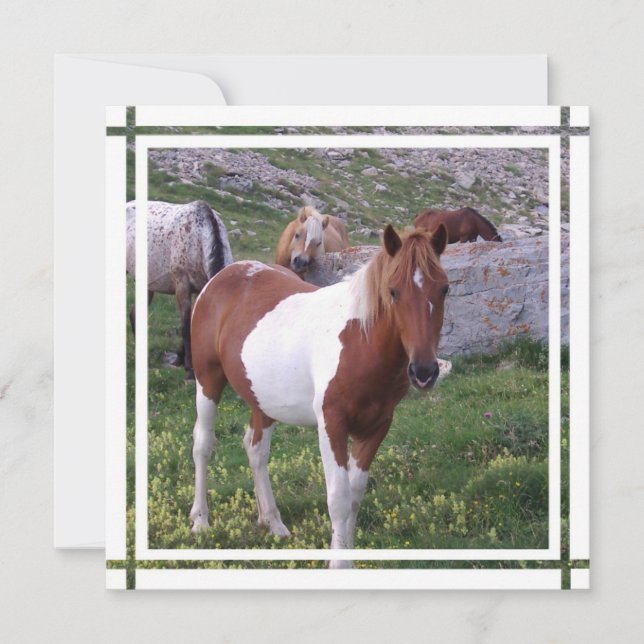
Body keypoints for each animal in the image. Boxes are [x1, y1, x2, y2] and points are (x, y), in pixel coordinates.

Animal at [126, 200, 233, 379]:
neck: (199, 237)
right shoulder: (182, 286)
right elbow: (185, 326)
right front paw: (189, 369)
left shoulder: (201, 288)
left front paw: (179, 359)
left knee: (135, 315)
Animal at [189, 223, 449, 567]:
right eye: (393, 291)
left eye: (444, 289)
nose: (424, 371)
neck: (360, 341)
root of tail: (222, 275)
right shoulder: (332, 424)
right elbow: (338, 497)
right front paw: (338, 564)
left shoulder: (376, 426)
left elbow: (355, 495)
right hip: (207, 381)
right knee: (203, 444)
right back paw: (200, 521)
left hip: (262, 399)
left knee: (256, 449)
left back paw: (272, 522)